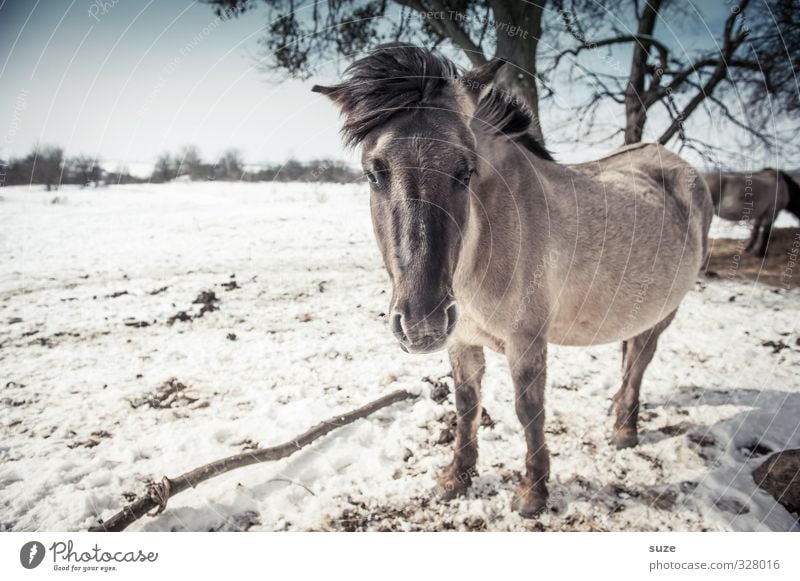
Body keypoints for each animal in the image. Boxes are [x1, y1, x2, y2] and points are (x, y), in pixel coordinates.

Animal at [312, 44, 712, 516]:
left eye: (465, 171)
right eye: (374, 174)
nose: (422, 323)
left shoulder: (527, 341)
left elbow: (529, 411)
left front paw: (533, 491)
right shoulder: (462, 340)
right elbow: (467, 406)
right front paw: (456, 477)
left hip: (666, 311)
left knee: (640, 362)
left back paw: (624, 430)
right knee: (630, 355)